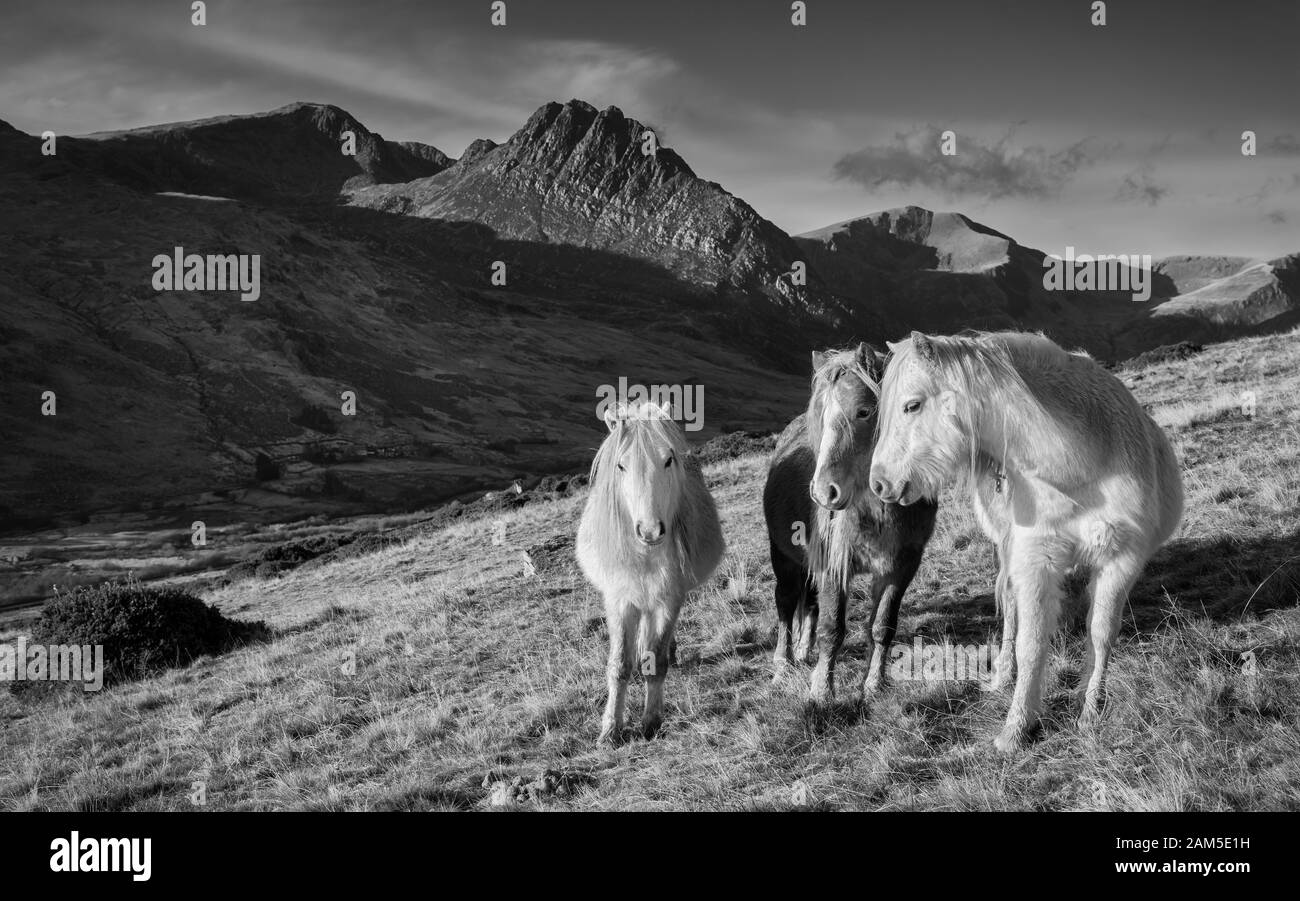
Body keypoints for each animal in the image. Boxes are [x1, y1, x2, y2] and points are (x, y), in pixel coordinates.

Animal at [577, 400, 728, 743]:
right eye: (621, 466)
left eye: (668, 459)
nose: (650, 531)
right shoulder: (620, 600)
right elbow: (620, 664)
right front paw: (610, 729)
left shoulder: (668, 599)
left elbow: (656, 659)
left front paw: (651, 721)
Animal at [868, 330, 1185, 754]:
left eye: (912, 405)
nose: (879, 483)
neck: (1075, 464)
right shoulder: (1036, 560)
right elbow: (1030, 643)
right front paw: (1016, 729)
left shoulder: (1122, 559)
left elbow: (1101, 633)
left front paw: (1090, 711)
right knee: (1012, 610)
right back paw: (1003, 677)